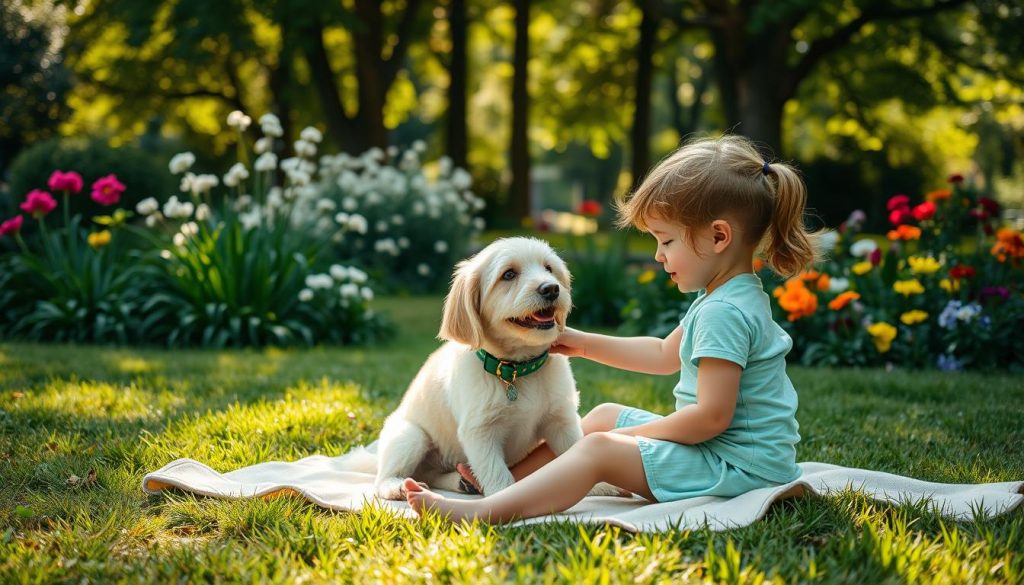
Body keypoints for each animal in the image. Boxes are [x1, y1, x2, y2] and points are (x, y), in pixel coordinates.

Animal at [368, 237, 593, 499]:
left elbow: (577, 449)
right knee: (385, 480)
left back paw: (462, 481)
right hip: (410, 436)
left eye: (549, 268)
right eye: (508, 274)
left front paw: (601, 486)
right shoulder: (480, 432)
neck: (517, 369)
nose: (551, 289)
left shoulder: (561, 419)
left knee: (431, 474)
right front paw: (507, 497)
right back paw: (398, 486)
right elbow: (498, 474)